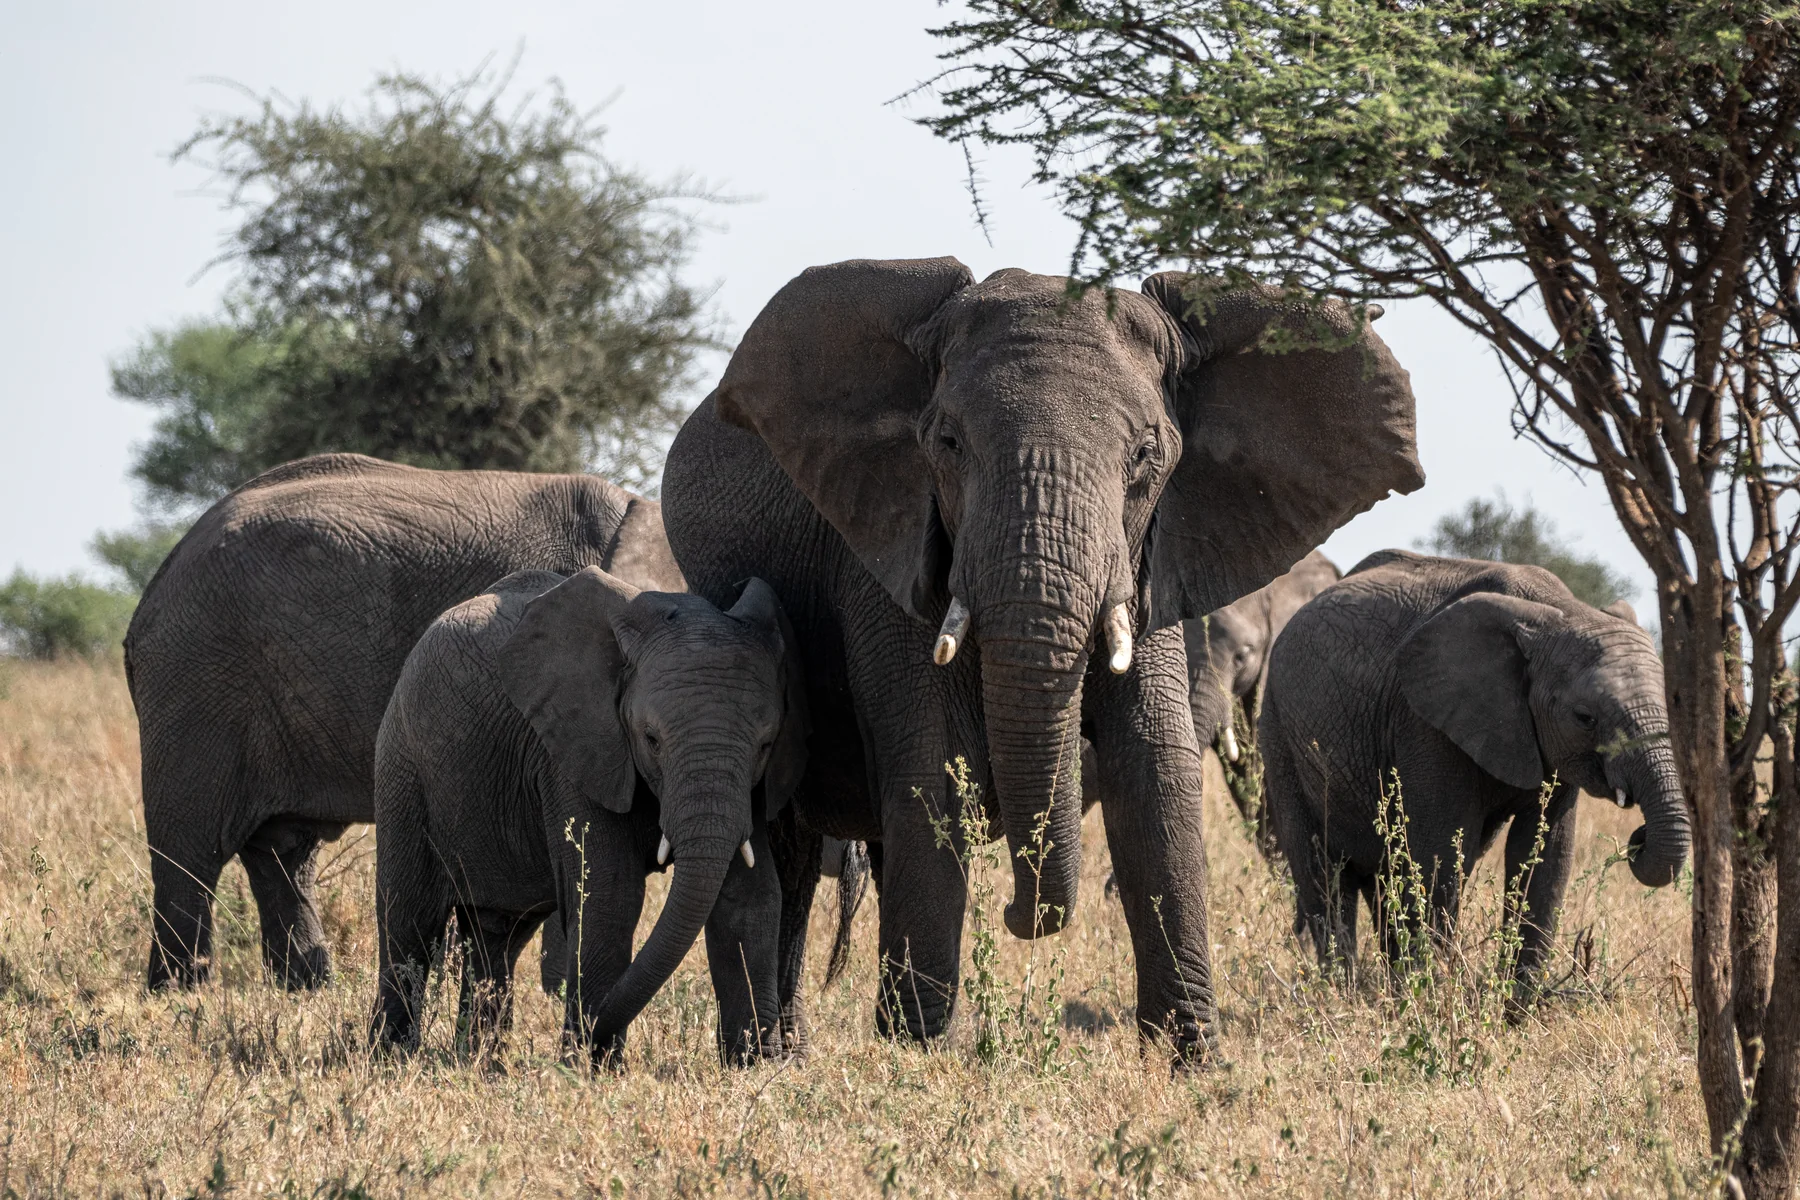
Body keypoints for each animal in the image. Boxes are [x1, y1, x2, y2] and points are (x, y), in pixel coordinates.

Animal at [124, 453, 685, 991]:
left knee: (282, 851)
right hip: (196, 678)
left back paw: (305, 989)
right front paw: (557, 990)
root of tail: (157, 580)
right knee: (191, 850)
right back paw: (181, 994)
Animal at [370, 568, 806, 1065]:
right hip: (404, 767)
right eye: (651, 739)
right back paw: (390, 1058)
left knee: (497, 935)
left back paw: (480, 1063)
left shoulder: (753, 787)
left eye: (766, 744)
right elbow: (609, 898)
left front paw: (758, 1067)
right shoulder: (574, 752)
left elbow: (749, 897)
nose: (586, 1038)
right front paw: (591, 1067)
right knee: (409, 921)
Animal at [1257, 549, 1688, 999]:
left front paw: (1517, 1006)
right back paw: (1342, 994)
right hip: (1278, 733)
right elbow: (1441, 857)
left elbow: (1545, 857)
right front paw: (1431, 997)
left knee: (1383, 881)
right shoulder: (1424, 723)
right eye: (1585, 718)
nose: (1638, 838)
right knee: (1324, 876)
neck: (1559, 612)